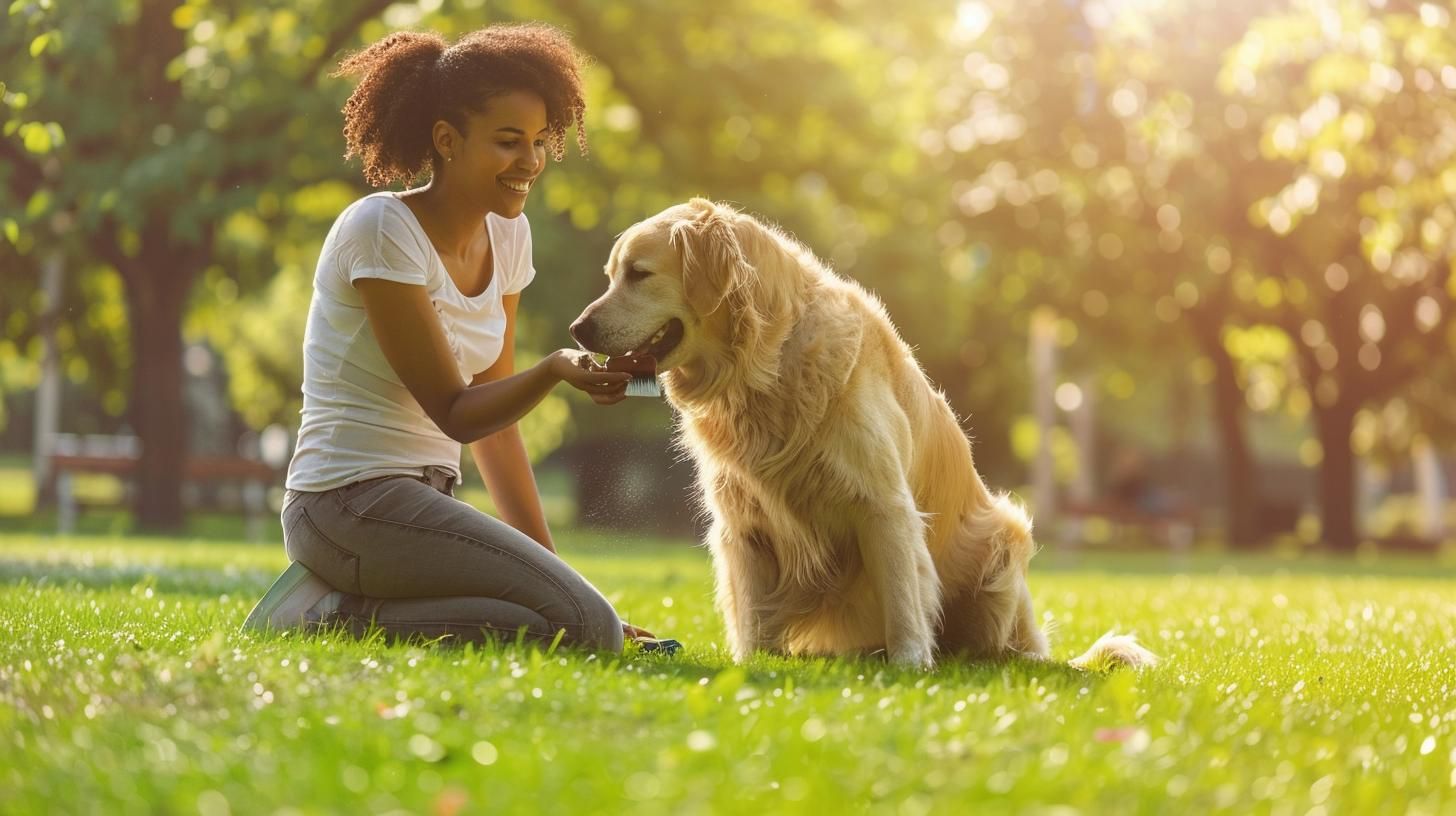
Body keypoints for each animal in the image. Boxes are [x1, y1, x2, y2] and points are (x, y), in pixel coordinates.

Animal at [573, 199, 1153, 670]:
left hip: (1003, 538)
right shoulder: (743, 520)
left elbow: (902, 593)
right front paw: (752, 663)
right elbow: (753, 613)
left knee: (1003, 650)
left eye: (639, 273)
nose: (578, 329)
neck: (764, 368)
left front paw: (910, 664)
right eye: (610, 275)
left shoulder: (883, 504)